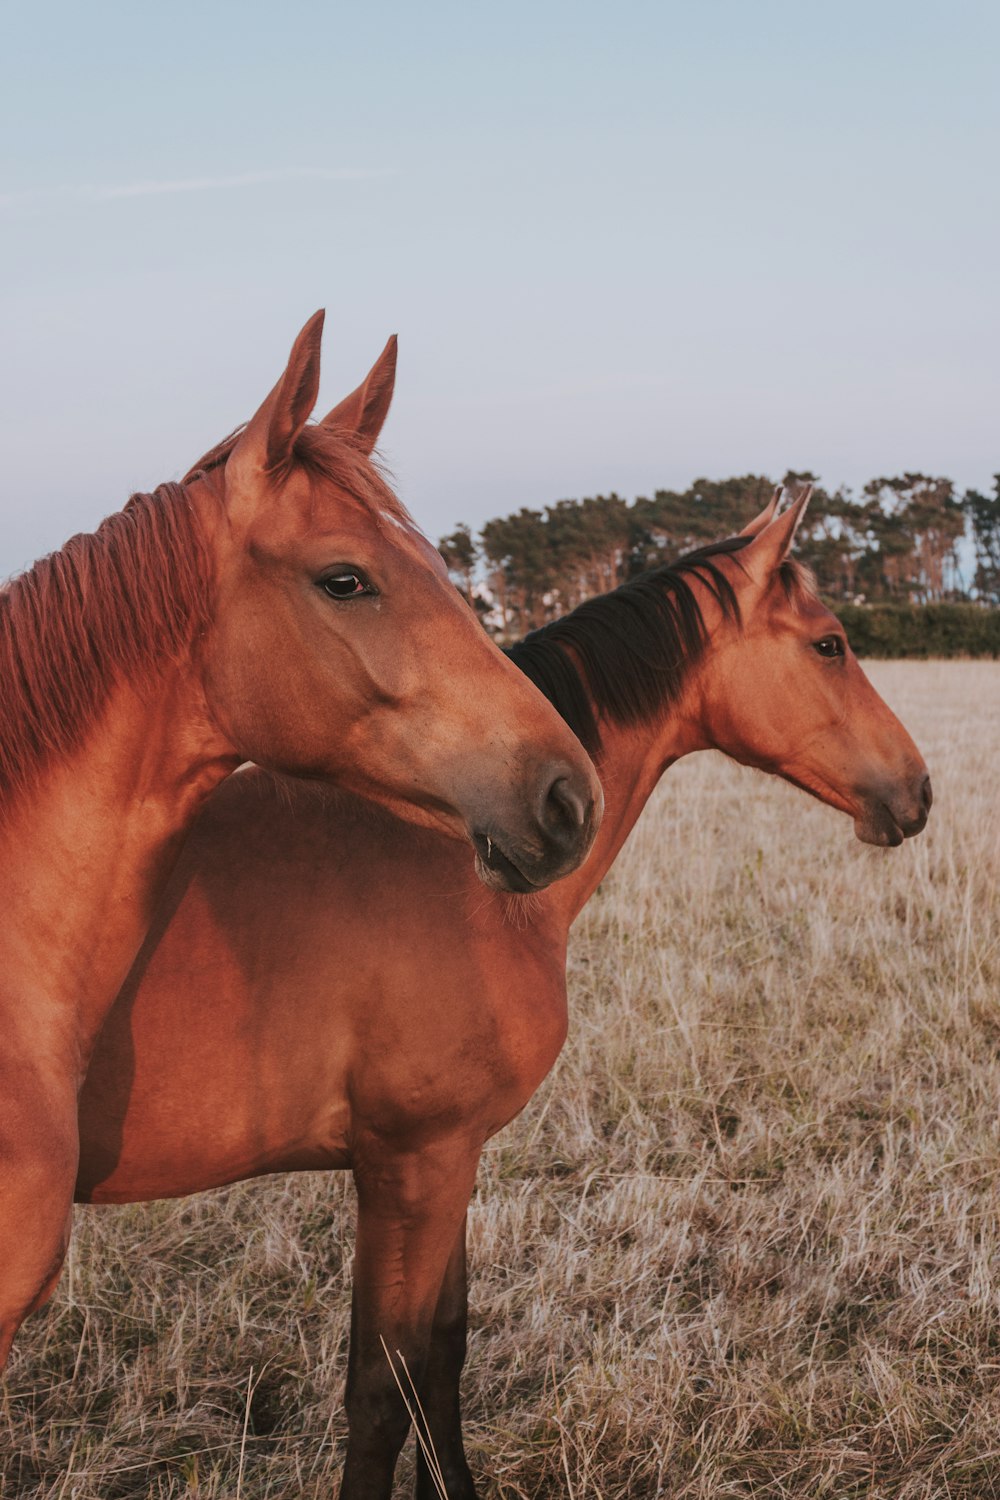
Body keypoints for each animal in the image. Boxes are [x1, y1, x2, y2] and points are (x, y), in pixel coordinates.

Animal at [76, 492, 929, 1500]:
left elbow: (441, 1356)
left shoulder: (453, 1161)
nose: (918, 790)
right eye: (830, 644)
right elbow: (384, 1386)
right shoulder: (413, 1163)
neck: (457, 865)